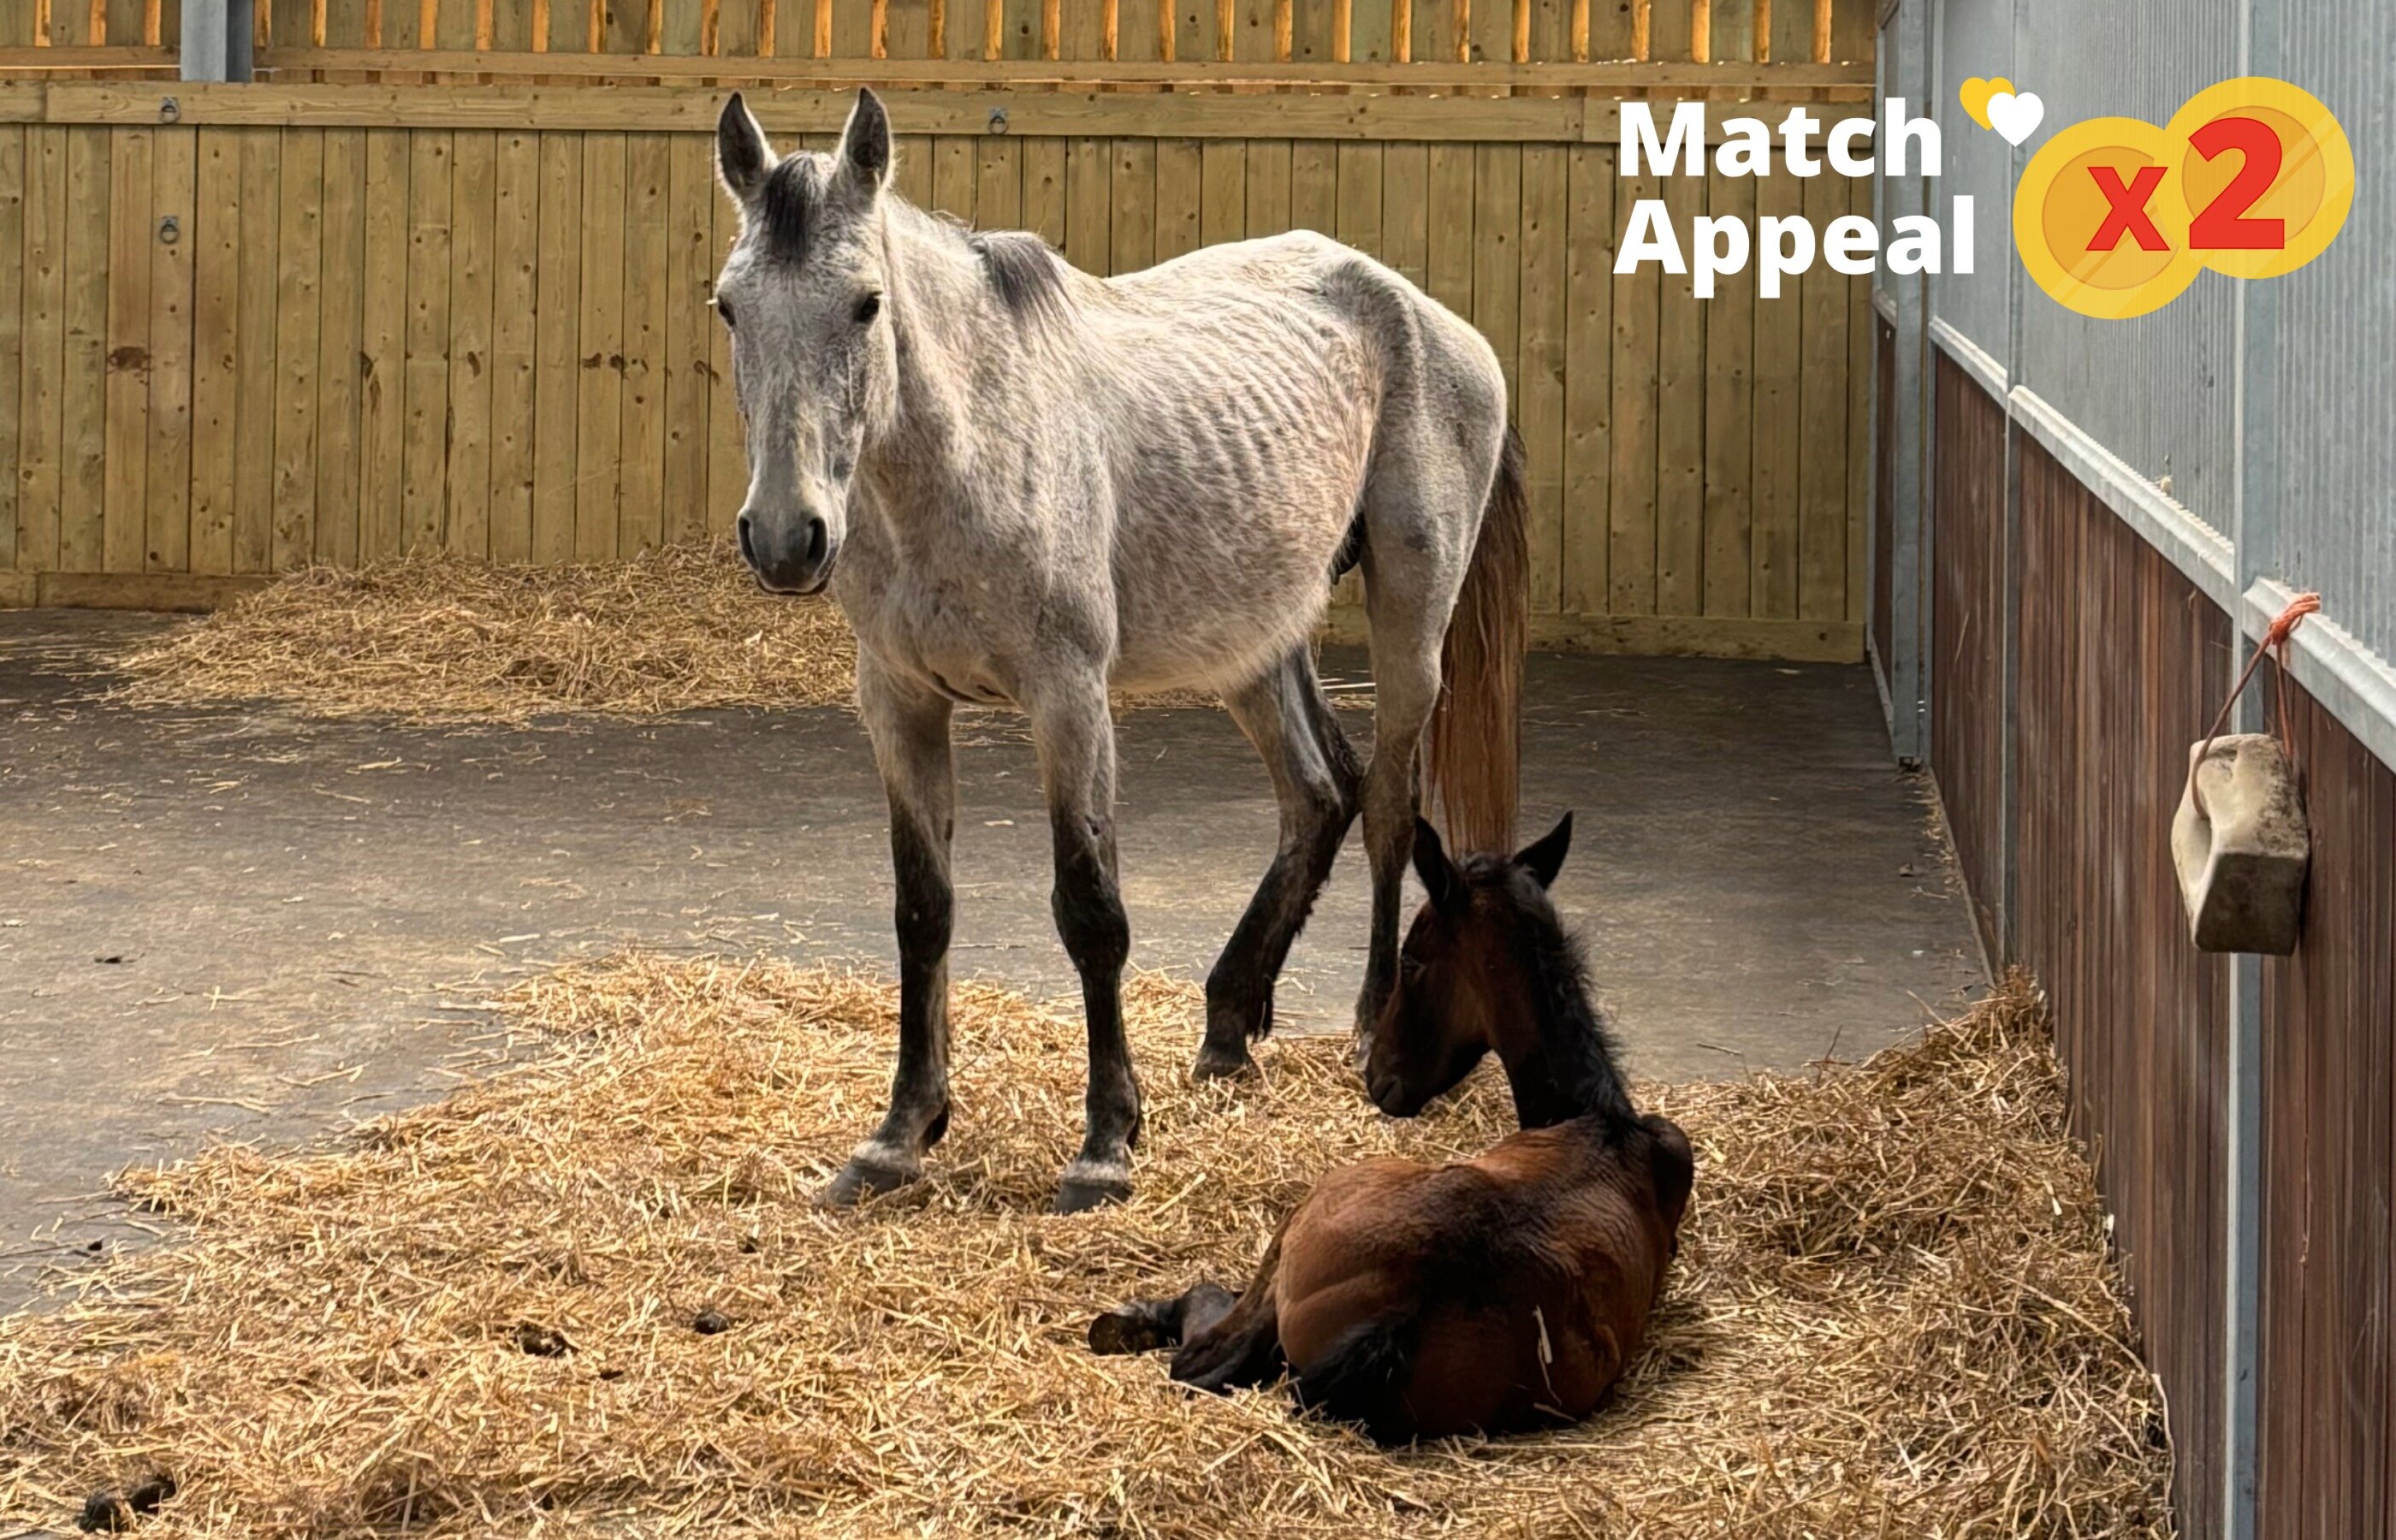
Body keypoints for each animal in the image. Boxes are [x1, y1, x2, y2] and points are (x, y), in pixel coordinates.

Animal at [712, 89, 1528, 1213]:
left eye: (867, 305)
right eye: (729, 307)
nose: (787, 538)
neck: (967, 456)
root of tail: (1431, 318)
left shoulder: (1068, 701)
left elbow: (1090, 910)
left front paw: (1105, 1144)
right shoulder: (899, 701)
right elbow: (922, 911)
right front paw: (898, 1136)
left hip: (1411, 625)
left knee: (1388, 811)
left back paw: (1371, 1032)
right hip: (1251, 640)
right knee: (1317, 791)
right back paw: (1228, 1027)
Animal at [1087, 813, 1694, 1442]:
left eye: (1411, 960)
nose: (1378, 1076)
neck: (1599, 1119)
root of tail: (1409, 1304)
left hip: (1308, 1215)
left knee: (1205, 1349)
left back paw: (1125, 1322)